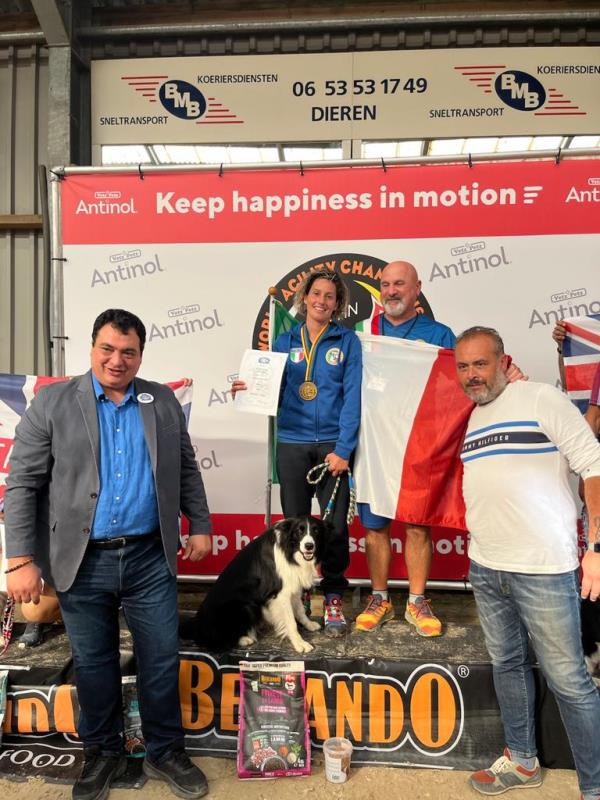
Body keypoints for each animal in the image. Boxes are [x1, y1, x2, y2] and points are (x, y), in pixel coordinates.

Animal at [183, 517, 328, 654]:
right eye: (299, 530)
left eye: (316, 531)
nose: (309, 546)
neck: (289, 550)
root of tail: (197, 625)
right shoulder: (280, 593)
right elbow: (291, 621)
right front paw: (300, 643)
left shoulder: (292, 585)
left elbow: (300, 610)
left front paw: (309, 624)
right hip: (243, 606)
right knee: (216, 641)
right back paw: (245, 638)